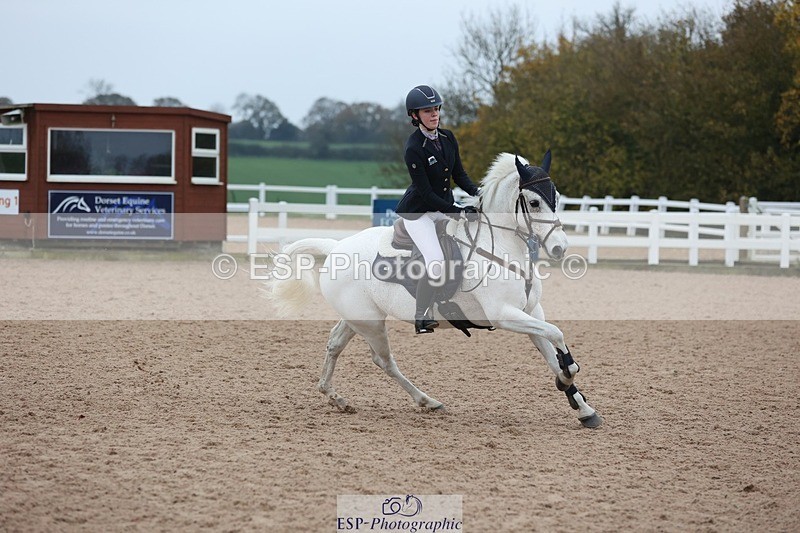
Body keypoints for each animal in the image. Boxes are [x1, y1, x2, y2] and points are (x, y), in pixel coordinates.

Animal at [268, 151, 602, 428]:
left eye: (555, 197)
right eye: (533, 202)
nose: (560, 248)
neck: (503, 247)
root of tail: (336, 246)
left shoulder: (531, 311)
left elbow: (551, 348)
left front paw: (583, 407)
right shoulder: (504, 314)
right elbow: (557, 336)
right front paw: (567, 377)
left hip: (359, 318)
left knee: (335, 344)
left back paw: (335, 397)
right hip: (370, 323)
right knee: (383, 360)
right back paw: (426, 400)